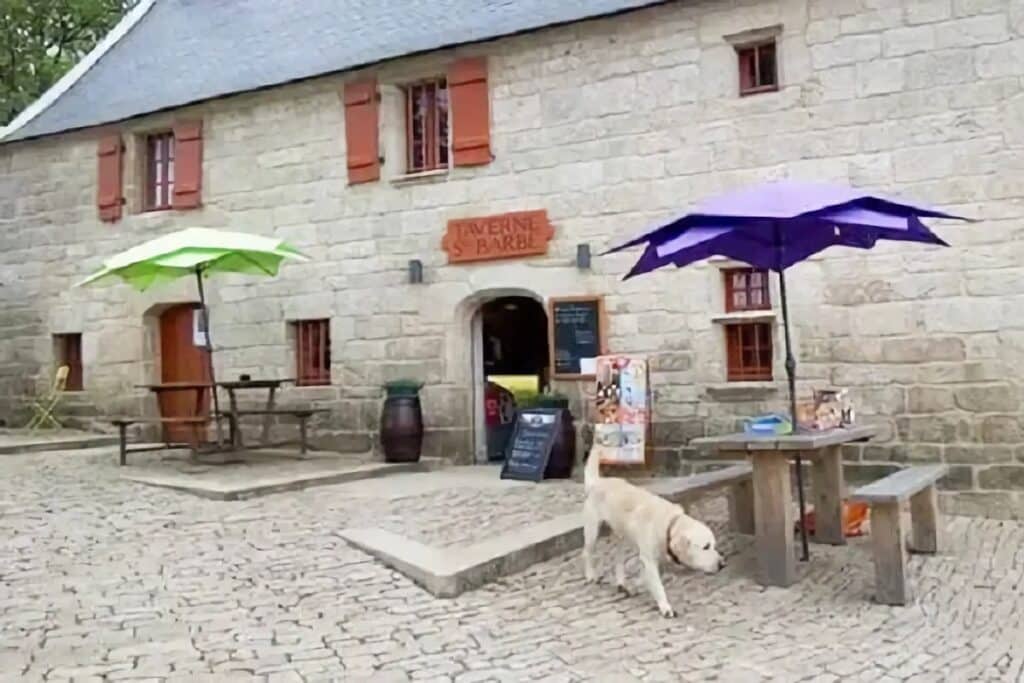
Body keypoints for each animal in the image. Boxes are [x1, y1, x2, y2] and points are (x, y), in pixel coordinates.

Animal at [585, 448, 720, 618]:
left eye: (714, 545)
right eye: (706, 547)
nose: (722, 564)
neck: (668, 524)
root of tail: (598, 482)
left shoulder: (654, 560)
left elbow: (645, 578)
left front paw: (633, 586)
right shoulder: (649, 559)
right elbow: (657, 585)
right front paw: (665, 607)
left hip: (623, 537)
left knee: (618, 560)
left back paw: (622, 583)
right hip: (593, 531)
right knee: (587, 553)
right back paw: (591, 575)